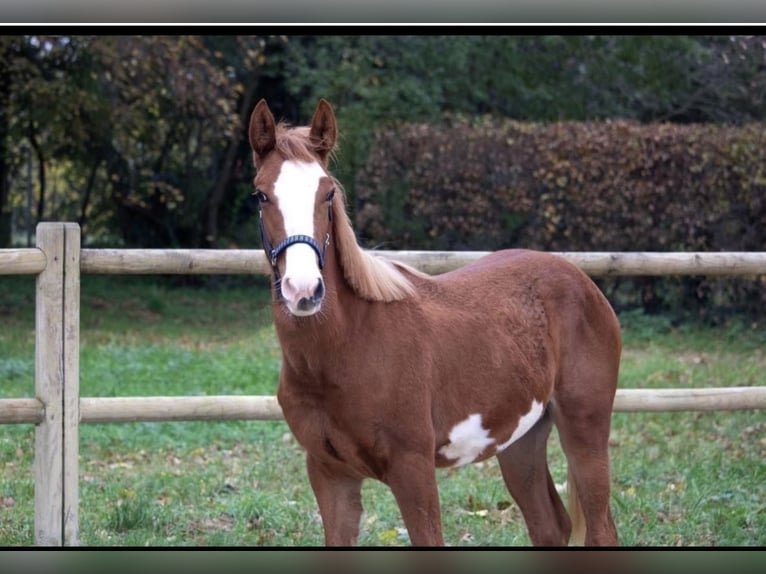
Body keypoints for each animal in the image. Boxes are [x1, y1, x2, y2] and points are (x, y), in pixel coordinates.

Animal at [249, 99, 620, 548]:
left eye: (328, 193)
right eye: (261, 194)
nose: (303, 290)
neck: (348, 347)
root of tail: (582, 281)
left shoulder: (413, 468)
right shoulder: (329, 473)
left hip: (585, 430)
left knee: (601, 529)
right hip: (521, 439)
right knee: (551, 526)